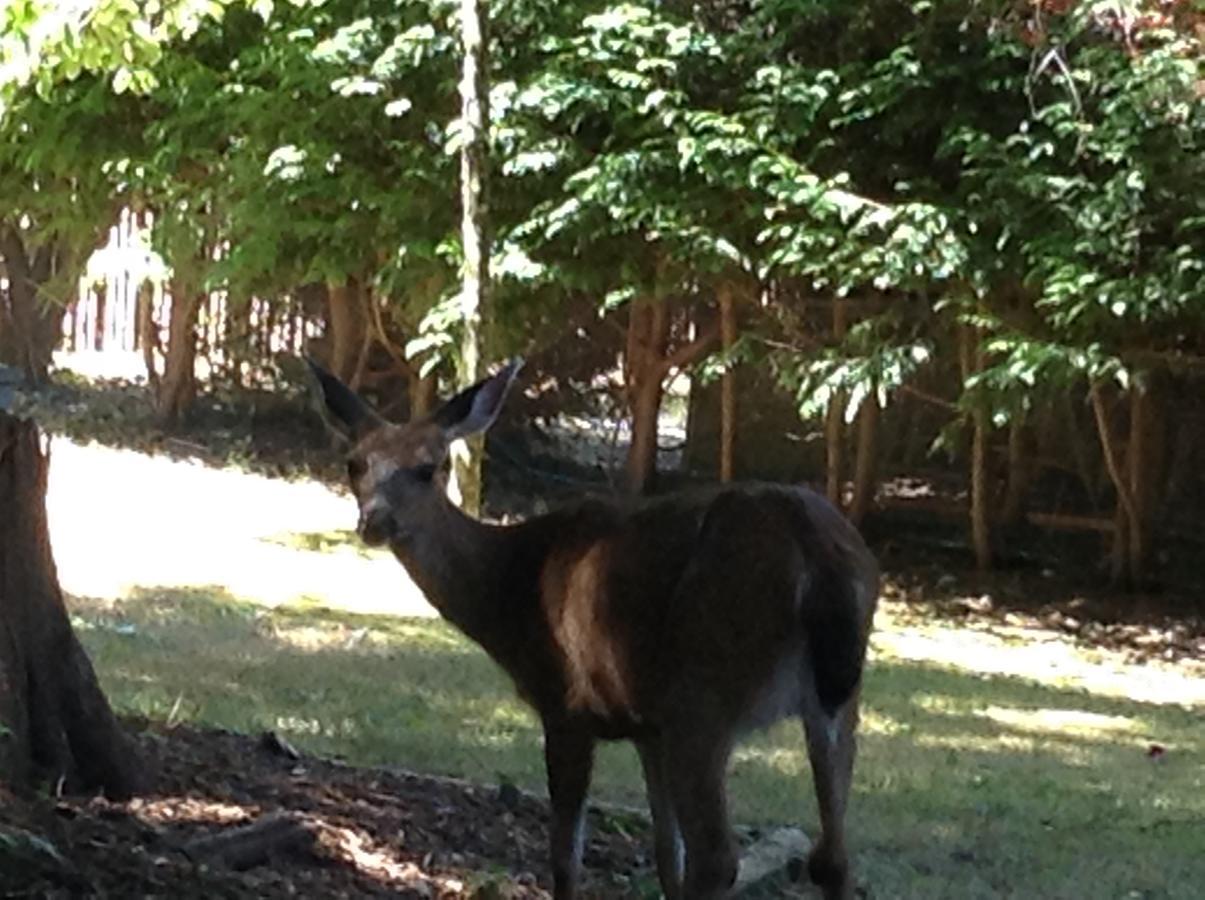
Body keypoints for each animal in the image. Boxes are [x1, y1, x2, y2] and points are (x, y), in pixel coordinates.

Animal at [306, 359, 882, 900]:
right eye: (355, 463)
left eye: (429, 468)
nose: (374, 522)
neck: (507, 591)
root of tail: (817, 554)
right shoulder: (648, 725)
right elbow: (665, 853)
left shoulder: (567, 703)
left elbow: (566, 855)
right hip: (836, 697)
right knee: (832, 855)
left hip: (707, 683)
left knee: (719, 857)